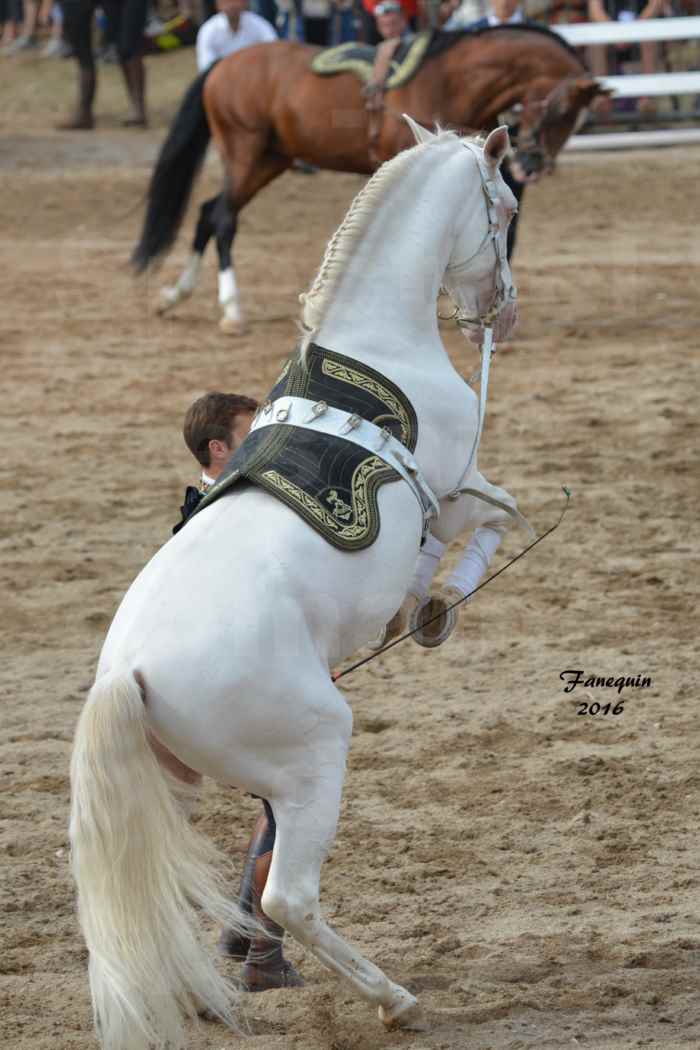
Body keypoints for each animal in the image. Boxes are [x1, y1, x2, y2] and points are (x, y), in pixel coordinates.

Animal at [71, 117, 522, 1050]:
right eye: (503, 206)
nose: (501, 309)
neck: (376, 343)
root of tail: (126, 674)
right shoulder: (459, 486)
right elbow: (500, 517)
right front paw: (431, 605)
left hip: (178, 785)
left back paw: (205, 989)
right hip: (315, 758)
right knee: (289, 895)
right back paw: (392, 999)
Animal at [134, 26, 604, 331]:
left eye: (577, 118)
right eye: (562, 110)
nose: (534, 163)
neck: (446, 79)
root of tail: (223, 63)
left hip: (270, 160)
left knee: (207, 211)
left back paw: (176, 294)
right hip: (244, 152)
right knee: (223, 218)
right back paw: (231, 309)